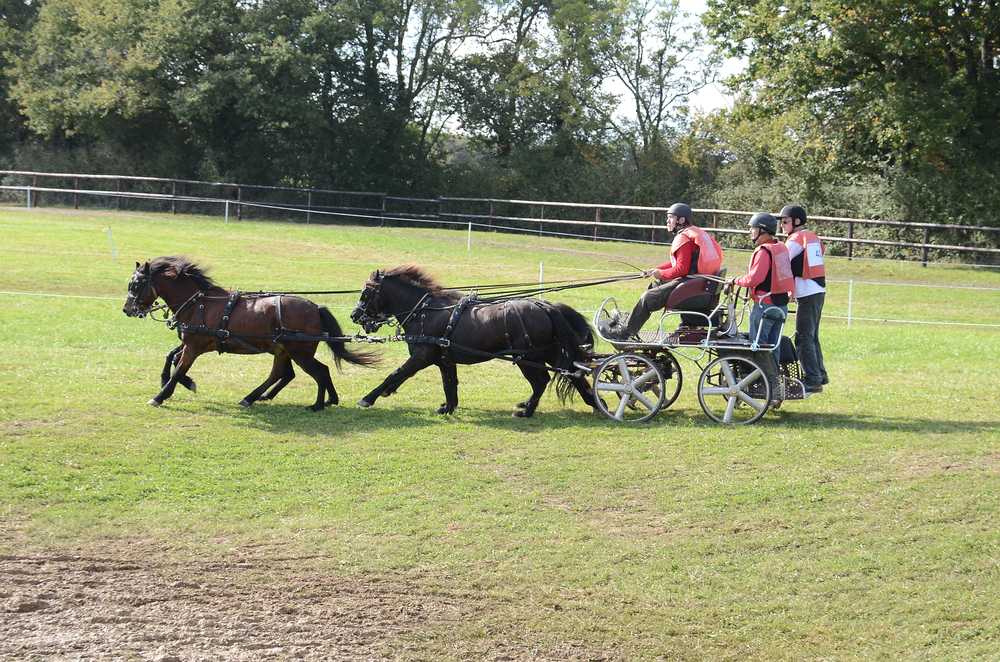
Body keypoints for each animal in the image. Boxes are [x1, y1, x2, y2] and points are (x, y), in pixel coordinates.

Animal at [123, 257, 378, 410]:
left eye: (136, 285)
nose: (127, 309)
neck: (200, 303)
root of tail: (315, 307)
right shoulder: (193, 343)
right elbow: (171, 358)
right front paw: (184, 383)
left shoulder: (194, 347)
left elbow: (178, 368)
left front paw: (160, 395)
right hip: (283, 349)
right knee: (284, 373)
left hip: (299, 352)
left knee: (318, 371)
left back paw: (317, 404)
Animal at [350, 265, 598, 417]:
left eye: (365, 293)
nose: (354, 315)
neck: (425, 311)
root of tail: (545, 306)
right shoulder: (444, 360)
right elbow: (449, 383)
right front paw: (448, 407)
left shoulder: (422, 356)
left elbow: (397, 373)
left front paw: (369, 398)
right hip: (550, 353)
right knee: (574, 375)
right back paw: (595, 403)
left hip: (527, 358)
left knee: (540, 382)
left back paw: (526, 411)